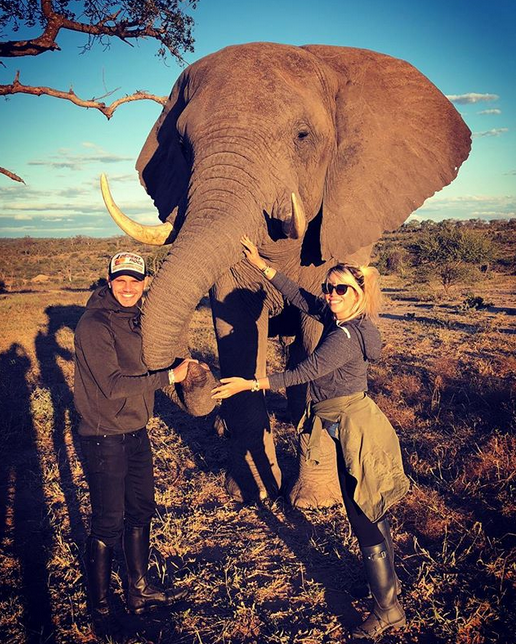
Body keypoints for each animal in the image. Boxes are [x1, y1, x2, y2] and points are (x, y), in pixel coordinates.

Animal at [101, 42, 472, 508]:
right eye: (183, 146)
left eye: (302, 136)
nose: (193, 371)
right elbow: (239, 328)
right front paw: (253, 492)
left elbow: (321, 333)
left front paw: (315, 502)